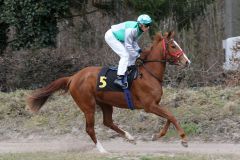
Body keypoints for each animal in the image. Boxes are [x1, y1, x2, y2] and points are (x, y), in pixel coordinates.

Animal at [26, 31, 191, 152]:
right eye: (173, 46)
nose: (187, 61)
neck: (149, 73)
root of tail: (73, 77)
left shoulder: (155, 104)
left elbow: (169, 117)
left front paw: (157, 135)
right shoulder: (149, 106)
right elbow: (171, 116)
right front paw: (184, 139)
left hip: (105, 103)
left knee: (107, 122)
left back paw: (129, 137)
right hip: (88, 106)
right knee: (90, 129)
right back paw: (102, 150)